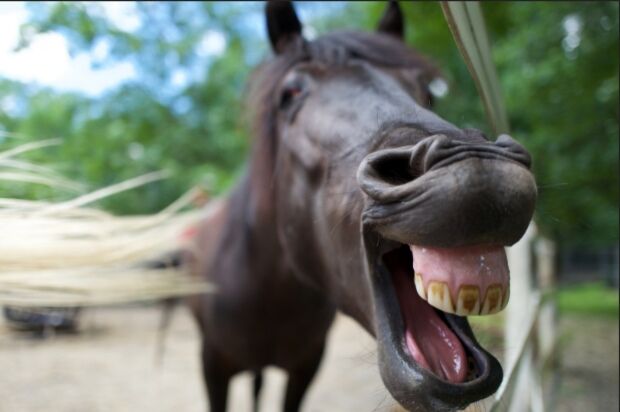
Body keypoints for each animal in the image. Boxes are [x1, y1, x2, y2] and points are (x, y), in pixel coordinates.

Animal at [182, 1, 536, 410]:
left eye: (428, 92)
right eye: (290, 92)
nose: (477, 164)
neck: (270, 296)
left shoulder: (305, 367)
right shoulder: (213, 367)